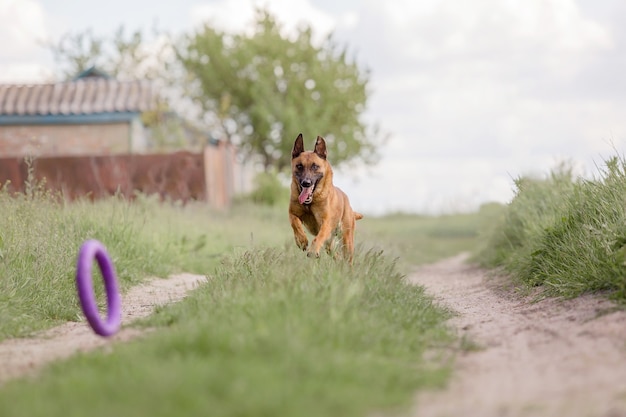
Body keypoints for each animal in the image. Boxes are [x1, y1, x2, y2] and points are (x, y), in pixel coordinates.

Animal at [286, 133, 360, 262]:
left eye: (315, 166)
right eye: (299, 166)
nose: (306, 183)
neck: (310, 203)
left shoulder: (326, 222)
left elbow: (319, 236)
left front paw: (313, 250)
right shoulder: (292, 213)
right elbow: (295, 224)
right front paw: (301, 240)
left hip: (347, 241)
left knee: (348, 259)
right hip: (330, 245)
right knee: (336, 255)